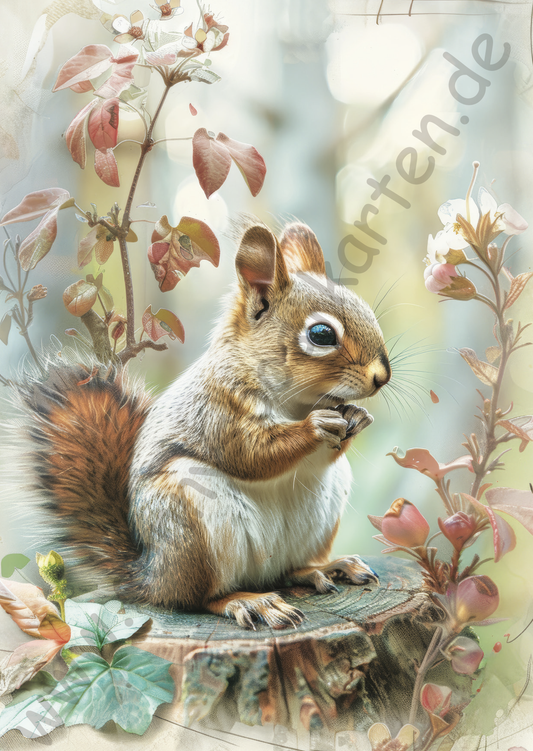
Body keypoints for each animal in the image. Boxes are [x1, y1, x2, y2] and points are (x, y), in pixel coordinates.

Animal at [16, 221, 391, 630]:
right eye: (321, 334)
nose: (382, 377)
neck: (295, 402)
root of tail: (153, 576)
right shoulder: (216, 411)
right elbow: (251, 454)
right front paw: (315, 426)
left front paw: (357, 417)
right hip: (191, 524)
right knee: (199, 598)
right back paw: (250, 602)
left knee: (286, 570)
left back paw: (325, 568)